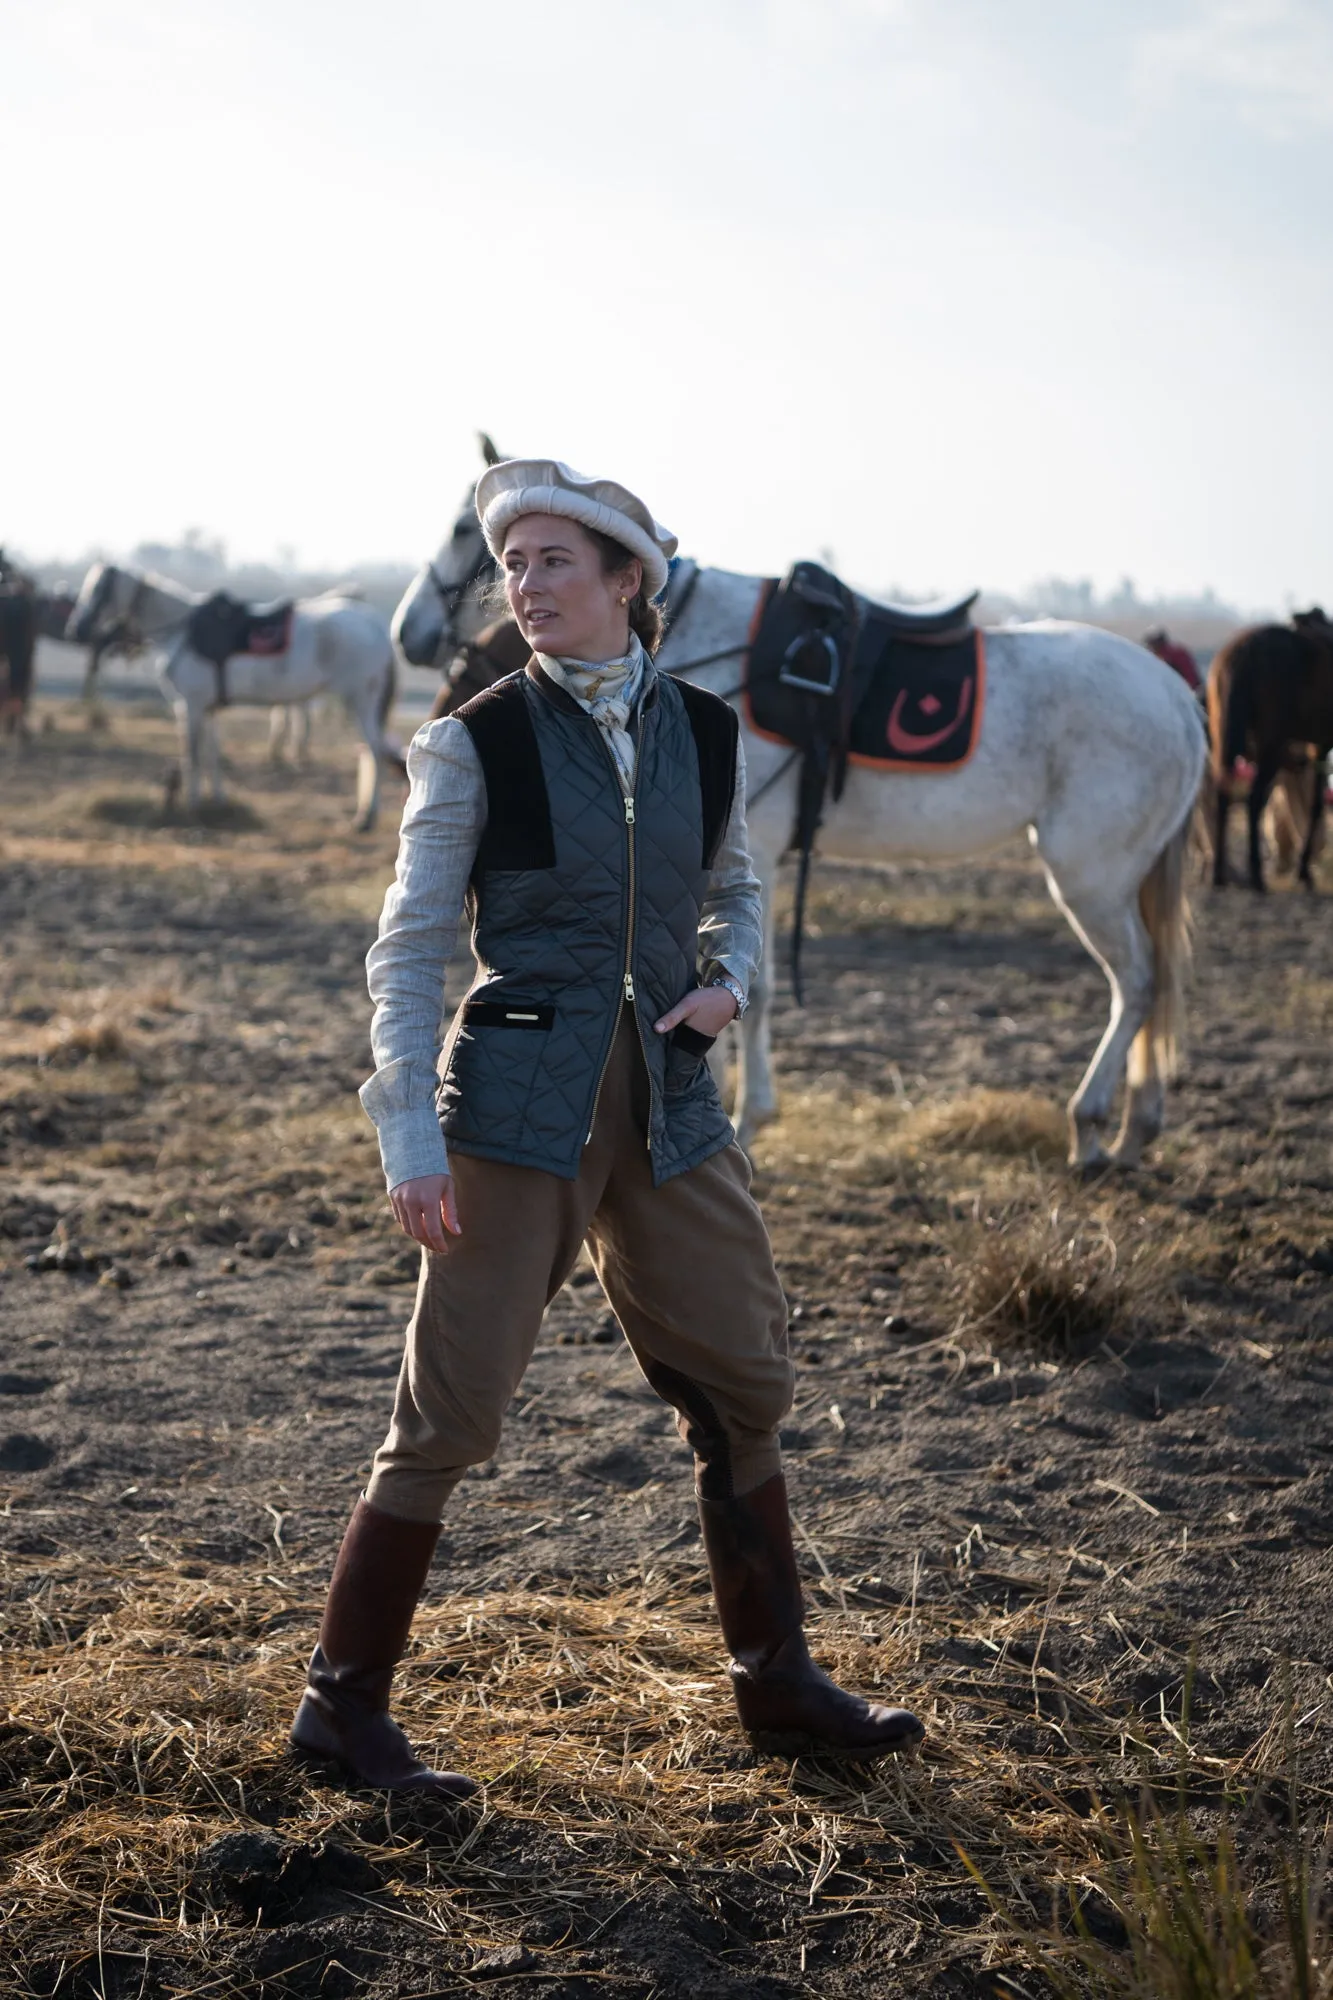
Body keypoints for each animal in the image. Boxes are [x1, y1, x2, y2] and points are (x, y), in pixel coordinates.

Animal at [68, 568, 400, 832]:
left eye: (99, 590)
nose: (76, 629)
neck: (181, 631)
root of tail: (376, 624)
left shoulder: (189, 705)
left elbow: (192, 754)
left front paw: (191, 803)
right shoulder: (208, 708)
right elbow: (212, 752)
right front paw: (216, 799)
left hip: (361, 698)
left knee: (374, 751)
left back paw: (366, 816)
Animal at [392, 480, 1200, 1168]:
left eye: (465, 530)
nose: (409, 634)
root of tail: (1176, 697)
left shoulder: (754, 849)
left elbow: (744, 984)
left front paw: (743, 1112)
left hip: (1090, 877)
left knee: (1136, 981)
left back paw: (1091, 1124)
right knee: (1154, 984)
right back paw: (1139, 1124)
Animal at [1200, 608, 1328, 892]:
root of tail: (1242, 651)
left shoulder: (1316, 748)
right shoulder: (1321, 744)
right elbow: (1315, 805)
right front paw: (1304, 870)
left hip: (1225, 736)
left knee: (1223, 792)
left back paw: (1220, 873)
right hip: (1271, 741)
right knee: (1254, 797)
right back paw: (1256, 875)